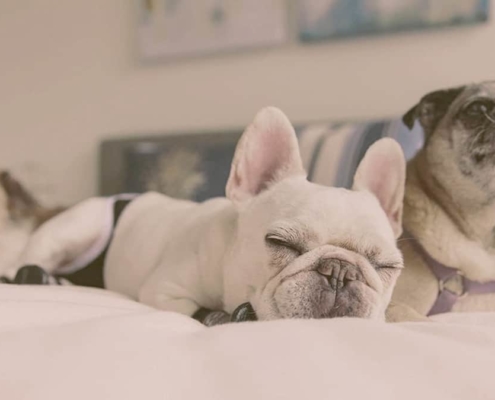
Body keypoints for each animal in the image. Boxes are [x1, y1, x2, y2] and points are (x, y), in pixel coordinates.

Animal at [2, 108, 406, 324]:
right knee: (26, 263)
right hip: (73, 232)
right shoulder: (165, 290)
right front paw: (223, 316)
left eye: (387, 266)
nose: (341, 270)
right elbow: (195, 310)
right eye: (280, 243)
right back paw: (37, 277)